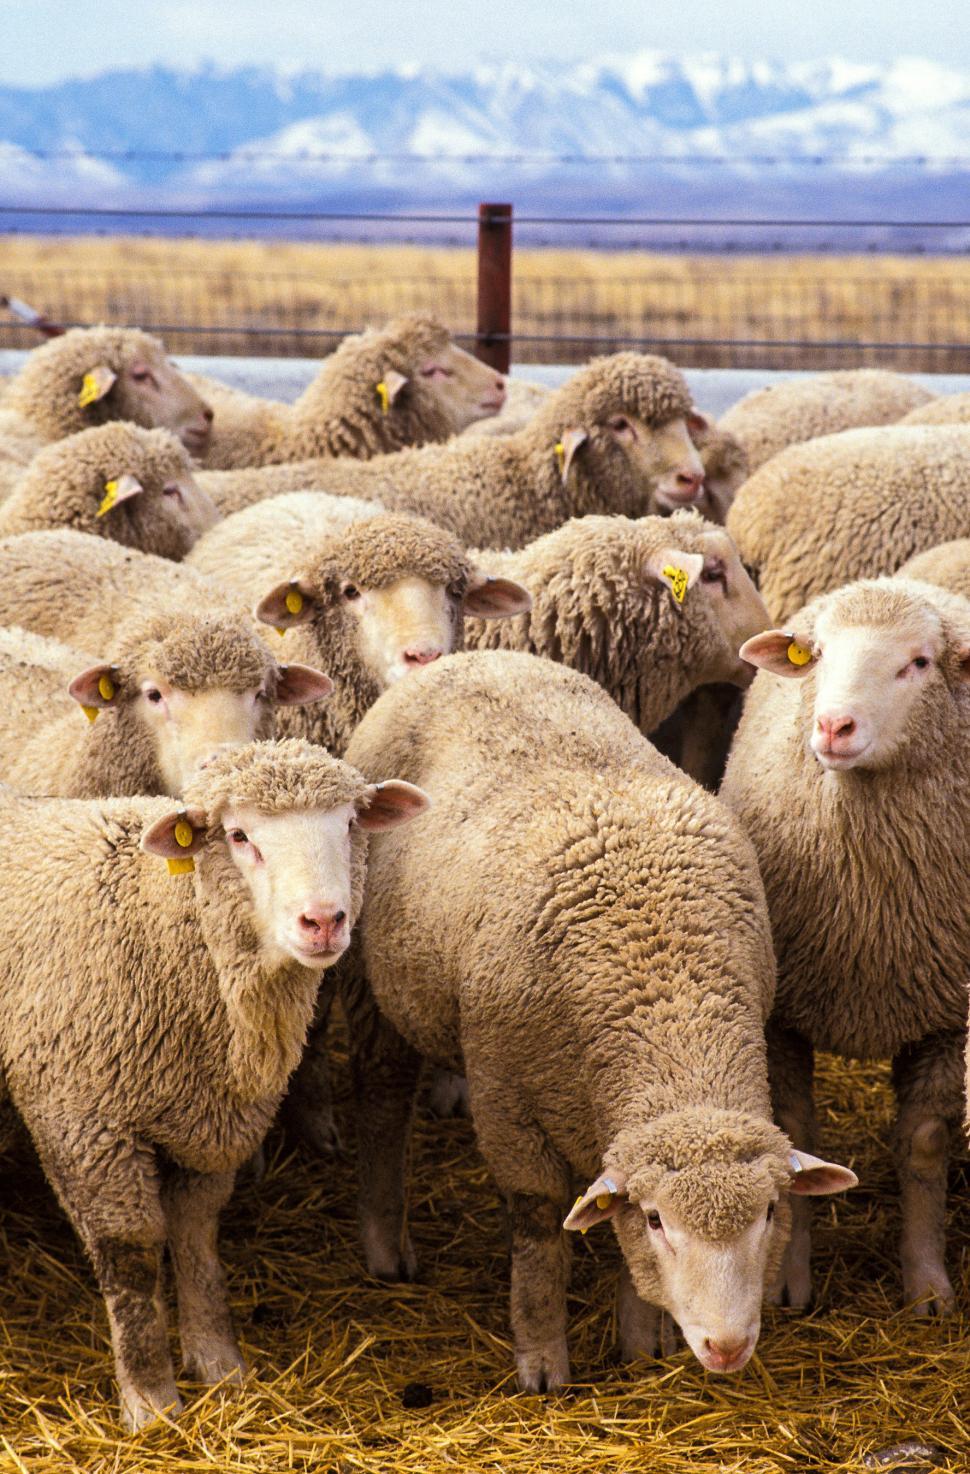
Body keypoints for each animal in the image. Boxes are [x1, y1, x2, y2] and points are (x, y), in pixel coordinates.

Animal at [0, 738, 428, 1428]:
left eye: (350, 824)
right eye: (238, 835)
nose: (323, 921)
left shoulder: (210, 1118)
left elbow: (197, 1236)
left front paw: (219, 1365)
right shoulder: (82, 1119)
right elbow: (132, 1255)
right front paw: (151, 1398)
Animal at [328, 650, 855, 1390]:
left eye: (771, 1212)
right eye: (661, 1221)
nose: (726, 1347)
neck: (669, 1008)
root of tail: (472, 655)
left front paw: (640, 1343)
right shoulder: (509, 1108)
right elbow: (539, 1233)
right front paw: (542, 1359)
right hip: (372, 984)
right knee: (382, 1099)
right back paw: (384, 1244)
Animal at [720, 577, 970, 1316]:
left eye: (919, 663)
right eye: (820, 653)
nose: (834, 727)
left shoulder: (945, 1014)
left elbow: (924, 1145)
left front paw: (928, 1286)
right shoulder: (782, 1014)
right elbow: (794, 1133)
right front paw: (786, 1280)